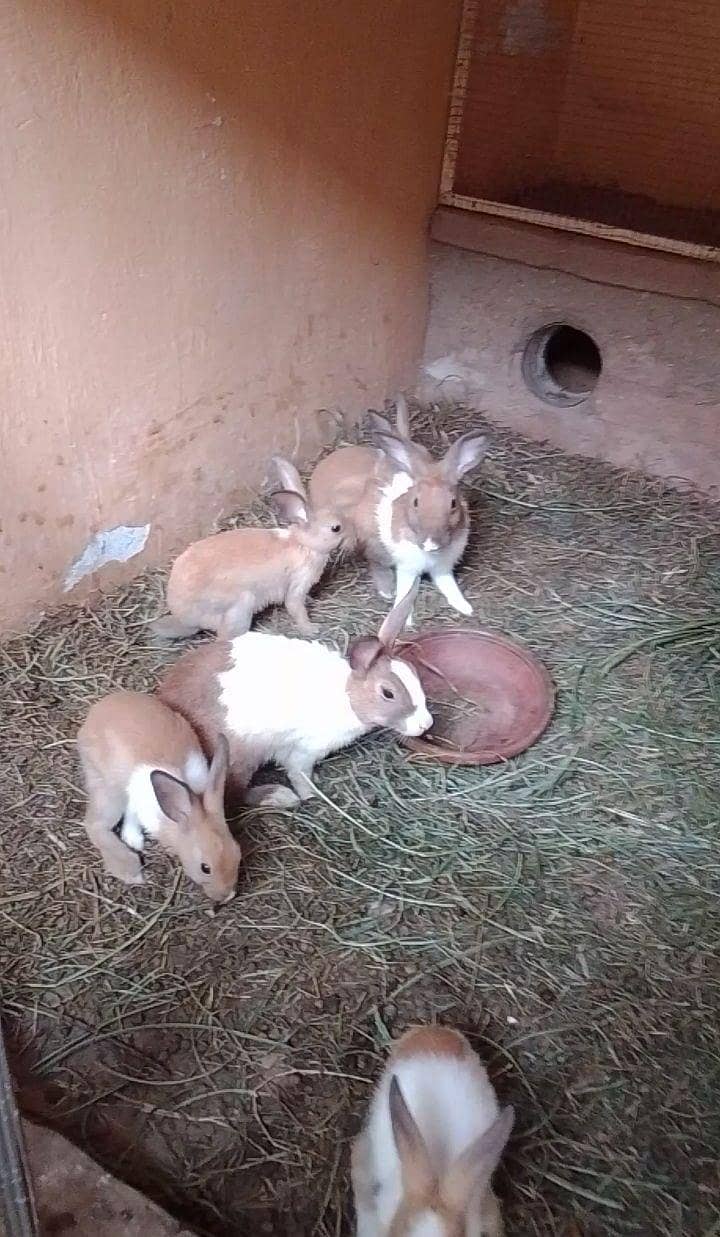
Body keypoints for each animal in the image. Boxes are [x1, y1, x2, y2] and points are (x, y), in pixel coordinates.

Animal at [77, 690, 241, 903]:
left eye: (237, 853)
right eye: (205, 868)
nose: (227, 895)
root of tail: (96, 710)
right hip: (110, 789)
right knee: (95, 824)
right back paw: (130, 868)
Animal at [152, 457, 345, 641]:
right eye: (336, 528)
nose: (347, 535)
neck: (304, 544)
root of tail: (185, 618)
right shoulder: (297, 585)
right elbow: (296, 608)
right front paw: (312, 629)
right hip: (240, 607)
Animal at [157, 582, 431, 809]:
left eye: (415, 674)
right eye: (388, 693)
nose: (426, 724)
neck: (346, 697)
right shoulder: (304, 751)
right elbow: (299, 774)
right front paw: (310, 795)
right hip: (238, 755)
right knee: (232, 794)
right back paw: (280, 796)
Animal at [309, 398, 488, 623]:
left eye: (453, 503)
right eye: (416, 502)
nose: (430, 543)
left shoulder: (443, 569)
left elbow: (449, 586)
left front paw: (465, 608)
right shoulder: (407, 568)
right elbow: (404, 592)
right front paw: (405, 619)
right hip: (374, 543)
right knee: (375, 563)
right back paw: (386, 590)